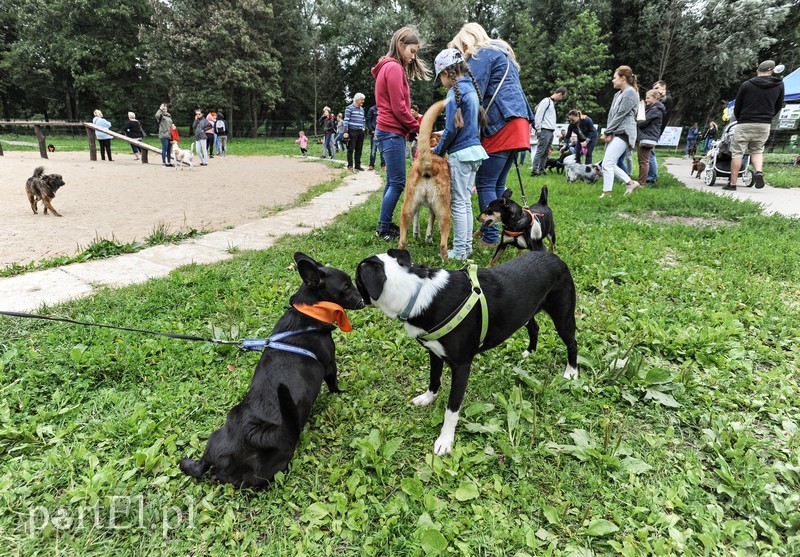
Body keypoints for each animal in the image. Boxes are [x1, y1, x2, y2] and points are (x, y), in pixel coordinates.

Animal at [180, 252, 364, 486]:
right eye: (346, 286)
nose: (364, 300)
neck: (310, 313)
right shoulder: (330, 365)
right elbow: (334, 384)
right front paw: (341, 393)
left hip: (216, 436)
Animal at [356, 250, 576, 454]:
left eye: (357, 280)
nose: (356, 300)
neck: (415, 292)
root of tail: (551, 255)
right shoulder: (434, 352)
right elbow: (434, 379)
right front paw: (428, 398)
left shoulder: (461, 366)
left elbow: (452, 409)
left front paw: (445, 440)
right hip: (526, 311)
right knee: (534, 327)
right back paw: (530, 353)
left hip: (563, 316)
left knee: (572, 343)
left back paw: (571, 373)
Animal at [398, 100, 454, 260]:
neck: (432, 149)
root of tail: (430, 165)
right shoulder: (432, 209)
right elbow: (430, 225)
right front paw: (428, 238)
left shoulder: (417, 207)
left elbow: (416, 223)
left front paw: (417, 235)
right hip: (444, 212)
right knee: (443, 244)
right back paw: (446, 259)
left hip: (406, 209)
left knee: (402, 240)